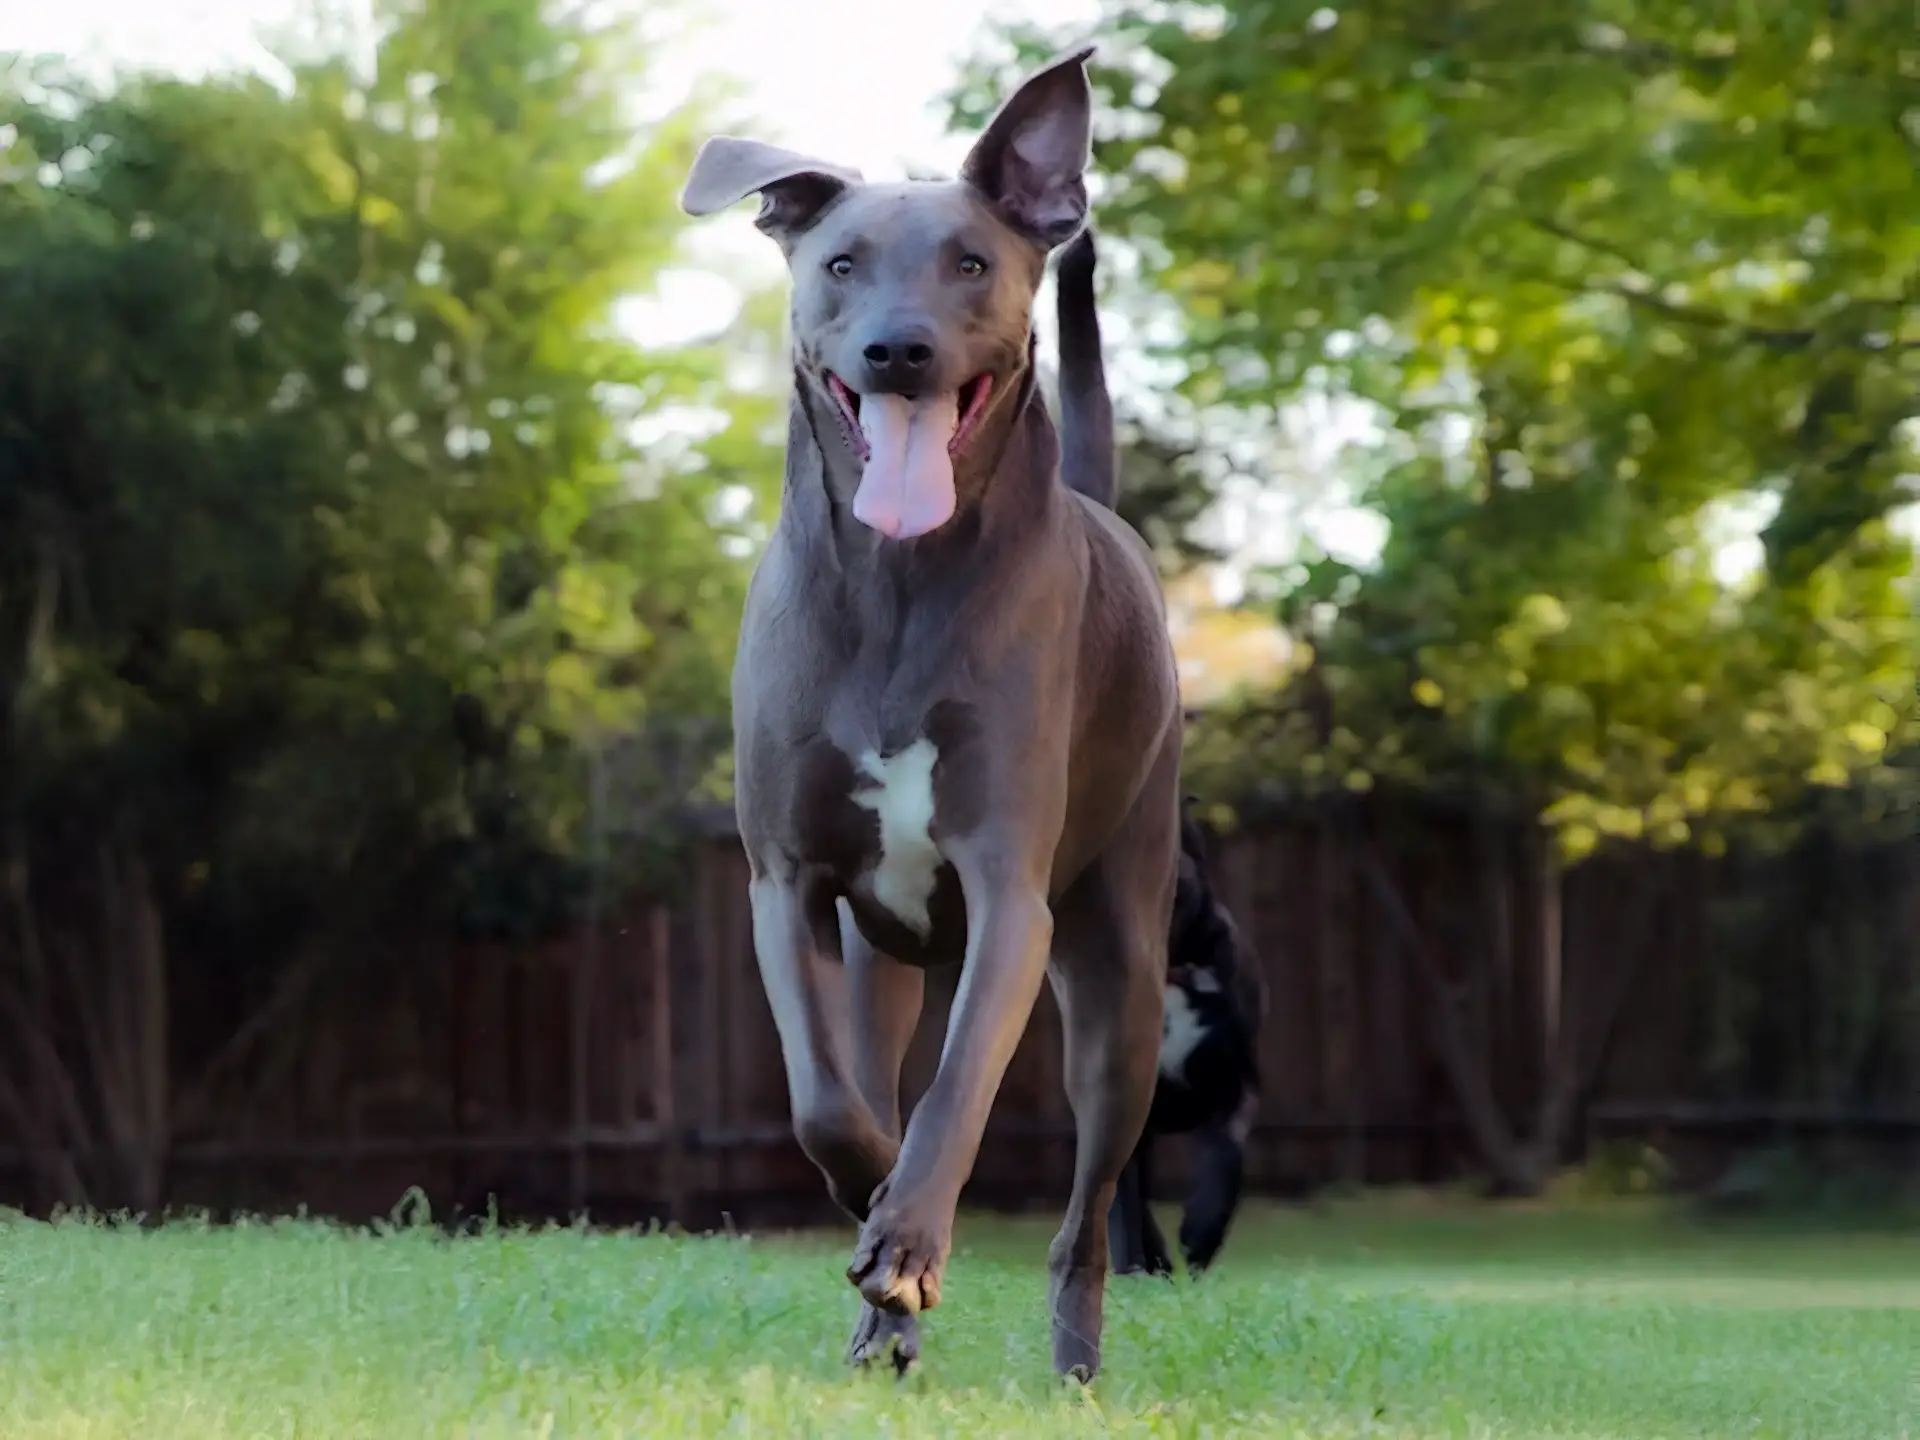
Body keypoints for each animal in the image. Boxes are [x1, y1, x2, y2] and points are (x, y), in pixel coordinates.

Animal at [683, 45, 1175, 1382]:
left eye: (970, 263)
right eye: (841, 263)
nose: (898, 351)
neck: (900, 581)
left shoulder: (1010, 888)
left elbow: (956, 1097)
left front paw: (904, 1243)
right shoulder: (784, 882)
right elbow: (829, 1104)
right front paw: (876, 1228)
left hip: (1126, 974)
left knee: (1088, 1207)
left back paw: (1072, 1362)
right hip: (882, 961)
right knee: (872, 1073)